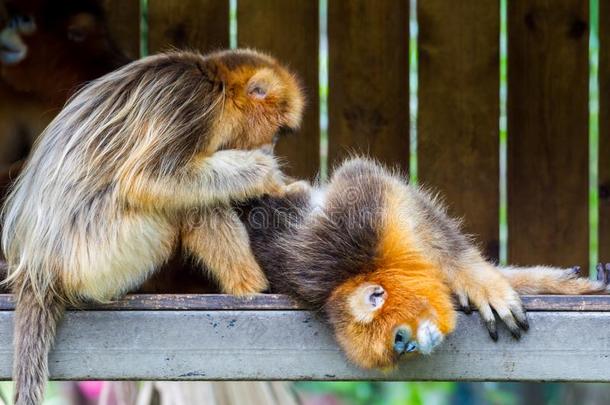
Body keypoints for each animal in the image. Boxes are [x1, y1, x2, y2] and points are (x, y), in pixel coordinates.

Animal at [0, 48, 304, 404]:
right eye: (276, 130)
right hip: (101, 255)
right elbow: (147, 179)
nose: (271, 145)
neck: (216, 87)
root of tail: (37, 267)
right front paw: (265, 174)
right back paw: (253, 287)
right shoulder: (191, 107)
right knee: (192, 204)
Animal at [236, 157, 604, 370]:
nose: (410, 345)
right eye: (398, 347)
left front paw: (479, 280)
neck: (353, 273)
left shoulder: (351, 236)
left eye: (399, 338)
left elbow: (365, 178)